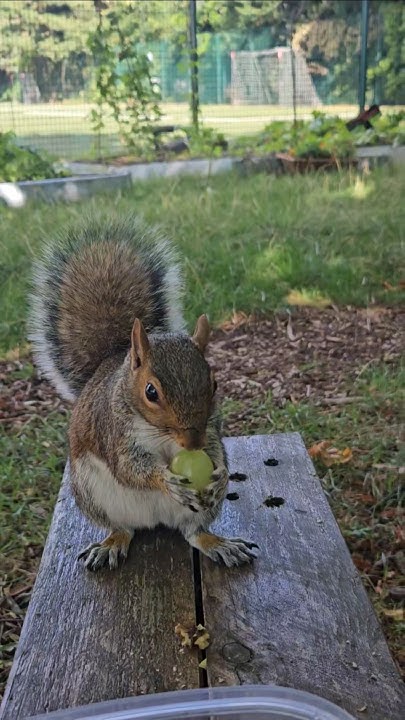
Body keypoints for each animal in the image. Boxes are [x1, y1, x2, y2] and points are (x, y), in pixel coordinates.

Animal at [29, 213, 258, 571]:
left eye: (215, 384)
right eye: (151, 392)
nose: (192, 443)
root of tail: (155, 520)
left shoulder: (211, 428)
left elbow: (216, 449)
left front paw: (220, 476)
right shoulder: (114, 432)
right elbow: (129, 468)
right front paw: (164, 480)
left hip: (197, 513)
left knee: (193, 532)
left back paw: (218, 543)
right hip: (95, 496)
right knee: (123, 528)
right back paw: (111, 543)